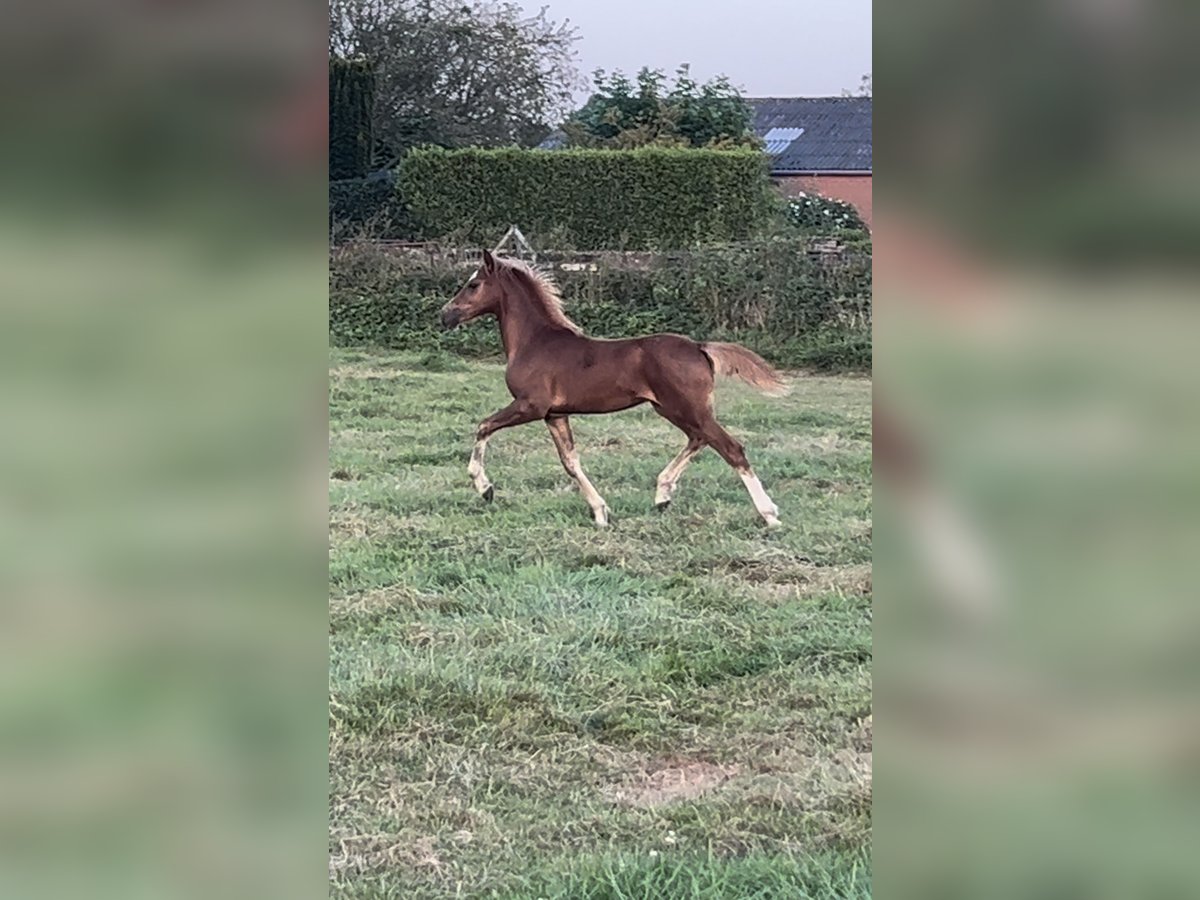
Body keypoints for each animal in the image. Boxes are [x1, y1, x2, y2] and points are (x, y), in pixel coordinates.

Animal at [441, 247, 787, 528]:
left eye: (473, 285)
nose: (445, 315)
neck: (535, 341)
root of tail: (699, 347)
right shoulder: (555, 414)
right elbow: (570, 463)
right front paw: (600, 513)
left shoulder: (531, 405)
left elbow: (484, 426)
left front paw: (485, 488)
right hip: (673, 409)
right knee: (699, 438)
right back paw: (663, 494)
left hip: (684, 407)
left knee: (730, 447)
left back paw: (769, 514)